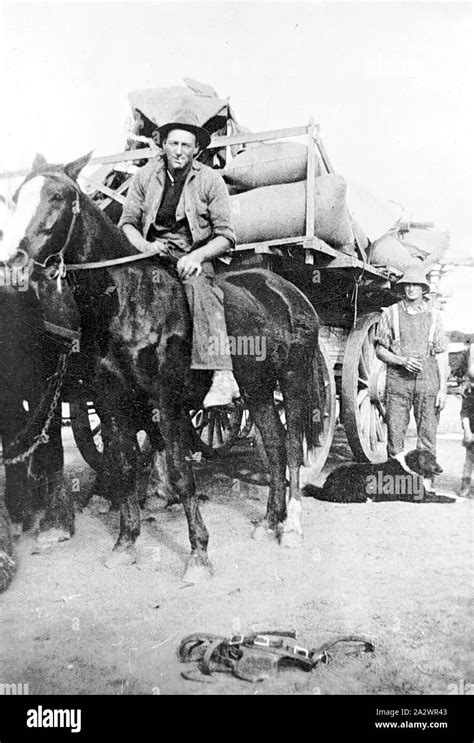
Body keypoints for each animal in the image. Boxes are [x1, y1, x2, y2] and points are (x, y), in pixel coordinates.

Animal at [0, 154, 324, 584]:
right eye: (15, 197)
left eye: (56, 197)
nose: (13, 266)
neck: (129, 301)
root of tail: (290, 293)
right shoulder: (112, 402)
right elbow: (123, 468)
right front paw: (125, 544)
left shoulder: (166, 402)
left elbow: (182, 475)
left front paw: (199, 554)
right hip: (256, 389)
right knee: (273, 444)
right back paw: (270, 521)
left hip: (294, 380)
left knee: (292, 448)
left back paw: (292, 528)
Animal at [304, 448, 456, 506]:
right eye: (430, 460)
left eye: (435, 459)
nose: (441, 469)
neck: (409, 466)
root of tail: (325, 487)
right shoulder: (420, 497)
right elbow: (442, 497)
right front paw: (457, 499)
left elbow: (436, 493)